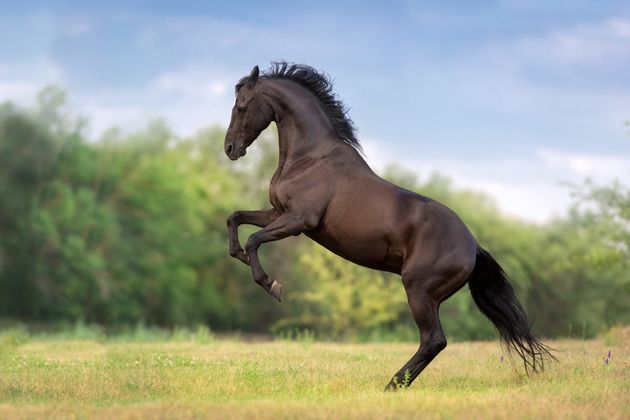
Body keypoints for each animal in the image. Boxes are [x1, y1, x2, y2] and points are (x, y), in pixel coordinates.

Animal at [225, 60, 556, 388]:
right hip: (430, 297)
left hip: (419, 290)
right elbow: (236, 218)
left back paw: (392, 385)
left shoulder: (298, 221)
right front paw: (238, 255)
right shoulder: (277, 213)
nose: (230, 148)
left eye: (242, 107)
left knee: (433, 340)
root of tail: (473, 247)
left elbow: (254, 240)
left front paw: (272, 285)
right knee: (433, 341)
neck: (310, 158)